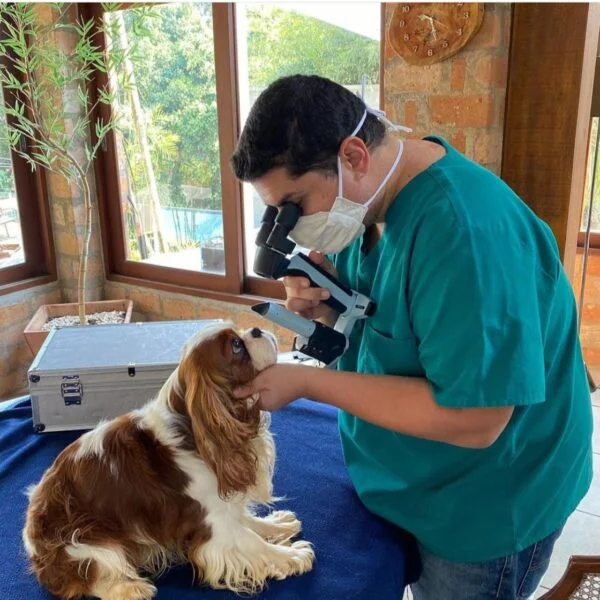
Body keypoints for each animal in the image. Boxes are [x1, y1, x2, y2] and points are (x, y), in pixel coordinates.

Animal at [22, 322, 314, 599]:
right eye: (235, 346)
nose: (255, 329)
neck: (195, 432)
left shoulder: (223, 508)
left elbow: (248, 522)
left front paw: (277, 525)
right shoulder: (213, 526)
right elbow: (251, 542)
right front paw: (292, 556)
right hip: (86, 540)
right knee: (87, 579)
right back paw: (130, 589)